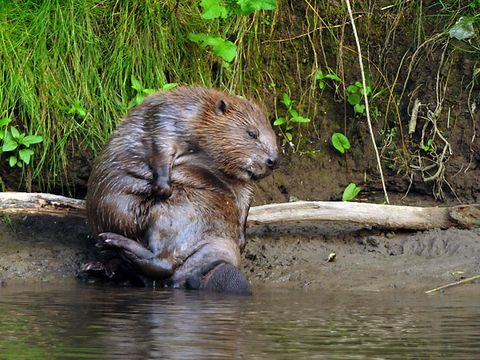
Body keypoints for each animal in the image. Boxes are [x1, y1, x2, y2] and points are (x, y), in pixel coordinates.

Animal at [84, 86, 276, 294]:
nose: (273, 160)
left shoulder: (240, 181)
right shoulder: (169, 117)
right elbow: (160, 146)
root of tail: (218, 266)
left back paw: (109, 245)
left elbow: (245, 199)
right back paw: (99, 261)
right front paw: (164, 188)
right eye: (252, 133)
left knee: (162, 263)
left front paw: (241, 240)